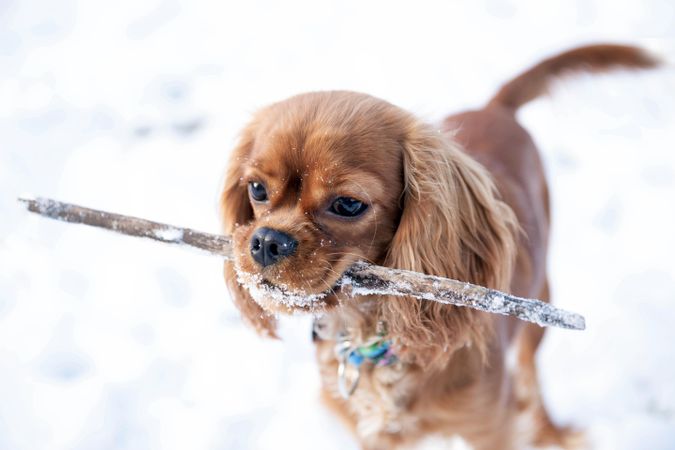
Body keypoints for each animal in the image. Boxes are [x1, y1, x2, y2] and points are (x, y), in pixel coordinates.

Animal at [219, 45, 656, 450]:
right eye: (256, 189)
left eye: (347, 204)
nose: (267, 241)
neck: (370, 334)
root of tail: (495, 108)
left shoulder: (492, 429)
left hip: (539, 309)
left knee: (532, 378)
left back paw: (552, 431)